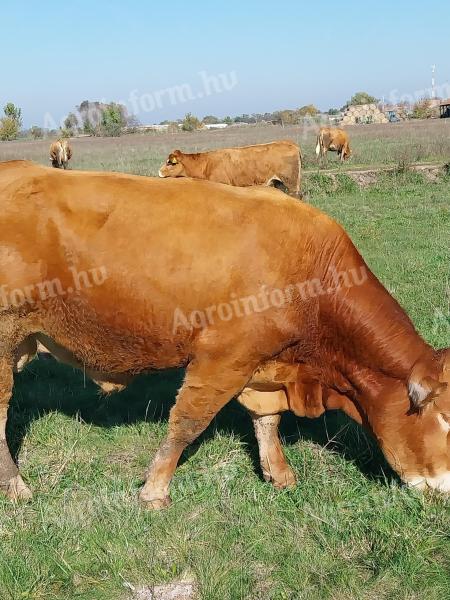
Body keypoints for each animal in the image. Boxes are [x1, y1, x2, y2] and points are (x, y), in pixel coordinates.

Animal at [0, 158, 450, 506]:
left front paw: (279, 474)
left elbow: (267, 419)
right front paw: (155, 490)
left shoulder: (263, 362)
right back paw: (16, 487)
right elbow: (187, 422)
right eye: (445, 419)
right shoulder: (222, 360)